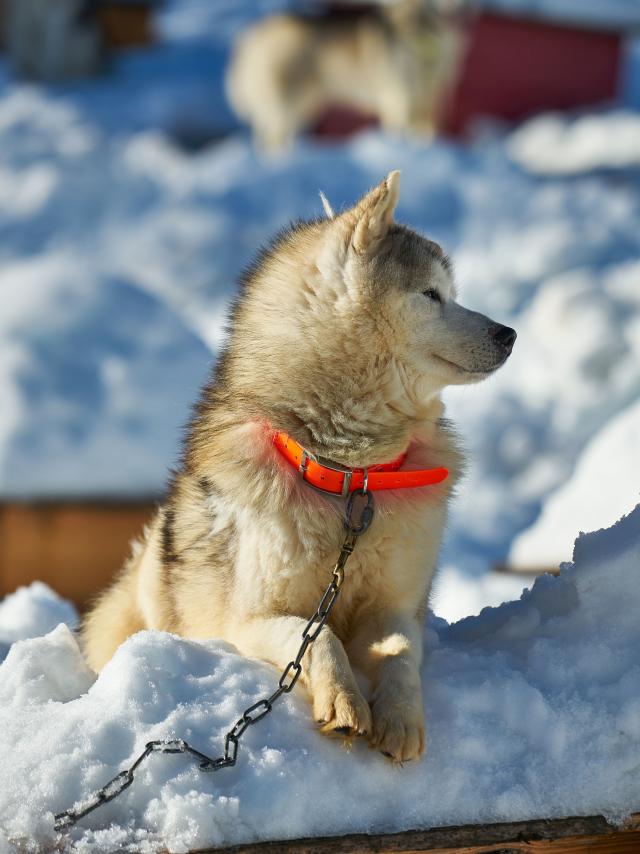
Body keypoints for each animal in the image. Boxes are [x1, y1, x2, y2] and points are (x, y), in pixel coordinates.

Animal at [84, 174, 516, 764]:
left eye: (450, 291)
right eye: (431, 294)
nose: (508, 334)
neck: (351, 478)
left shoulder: (397, 605)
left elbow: (401, 651)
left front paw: (400, 716)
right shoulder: (251, 620)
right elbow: (316, 638)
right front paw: (344, 698)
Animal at [225, 1, 460, 153]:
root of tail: (257, 34)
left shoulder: (429, 96)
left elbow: (425, 131)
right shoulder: (398, 95)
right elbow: (398, 127)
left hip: (303, 105)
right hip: (287, 103)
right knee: (272, 138)